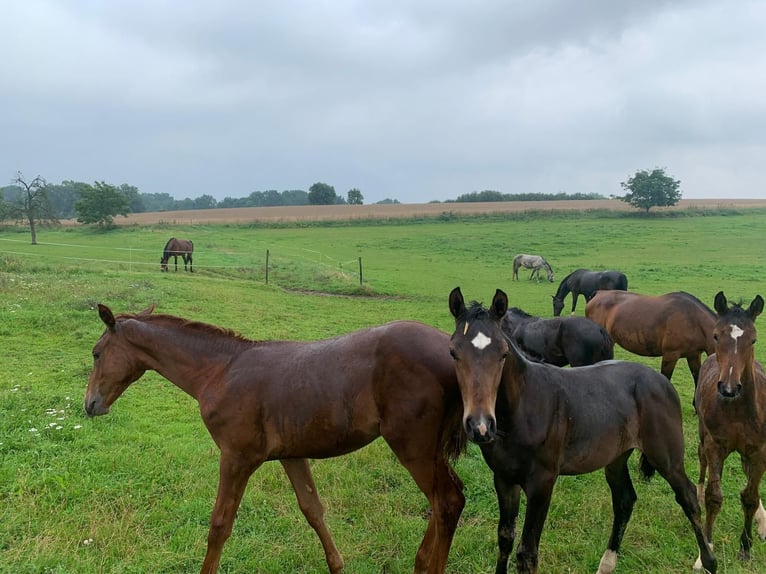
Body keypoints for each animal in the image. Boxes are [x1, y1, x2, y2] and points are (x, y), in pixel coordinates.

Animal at [84, 305, 466, 574]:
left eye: (96, 353)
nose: (90, 404)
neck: (218, 371)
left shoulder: (237, 457)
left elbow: (219, 525)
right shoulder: (291, 454)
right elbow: (313, 510)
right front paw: (337, 565)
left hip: (412, 445)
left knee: (447, 501)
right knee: (441, 501)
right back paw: (420, 562)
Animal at [695, 291, 766, 568]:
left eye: (753, 339)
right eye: (716, 335)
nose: (728, 388)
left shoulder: (759, 451)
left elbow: (750, 497)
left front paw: (745, 547)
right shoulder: (716, 444)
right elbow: (714, 497)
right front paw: (706, 551)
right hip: (703, 434)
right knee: (702, 460)